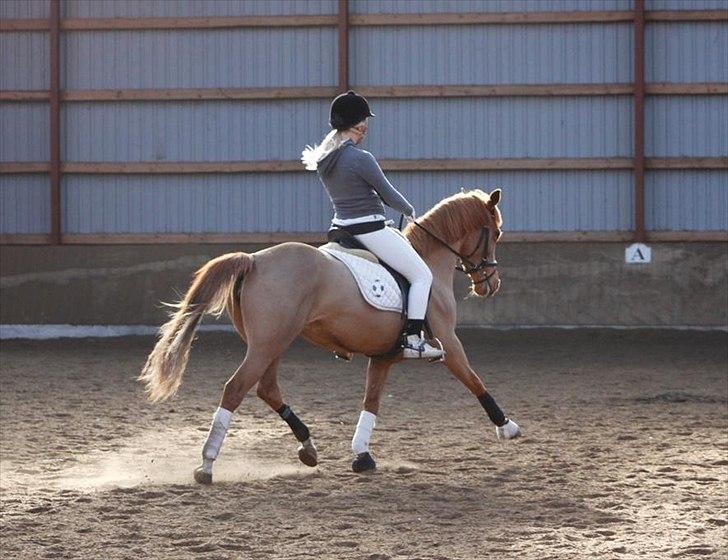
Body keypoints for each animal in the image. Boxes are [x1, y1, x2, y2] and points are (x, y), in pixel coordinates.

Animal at [139, 188, 521, 484]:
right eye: (496, 233)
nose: (490, 285)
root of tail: (254, 259)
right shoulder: (448, 343)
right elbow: (474, 380)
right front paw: (507, 427)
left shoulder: (383, 356)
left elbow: (371, 402)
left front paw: (362, 456)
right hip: (267, 345)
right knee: (236, 389)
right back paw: (206, 465)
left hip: (271, 343)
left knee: (267, 388)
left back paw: (308, 447)